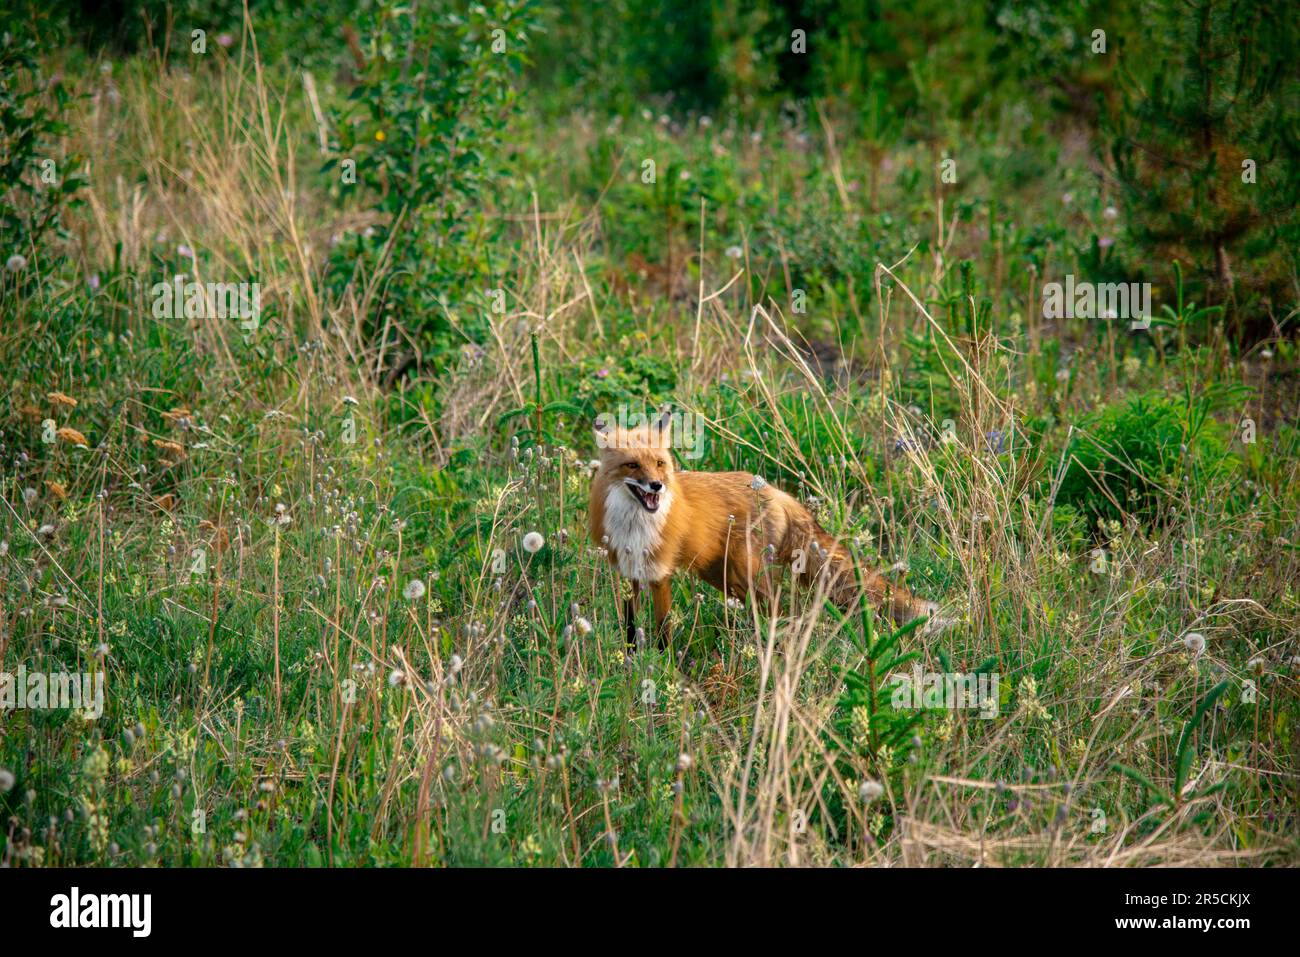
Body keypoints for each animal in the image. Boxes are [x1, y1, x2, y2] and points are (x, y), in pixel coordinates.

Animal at [587, 413, 935, 647]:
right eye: (633, 465)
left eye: (659, 464)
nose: (657, 486)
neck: (635, 526)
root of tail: (776, 491)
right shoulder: (627, 573)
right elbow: (630, 628)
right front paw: (632, 665)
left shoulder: (659, 574)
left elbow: (662, 633)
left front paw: (663, 667)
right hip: (724, 576)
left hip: (744, 575)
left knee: (784, 611)